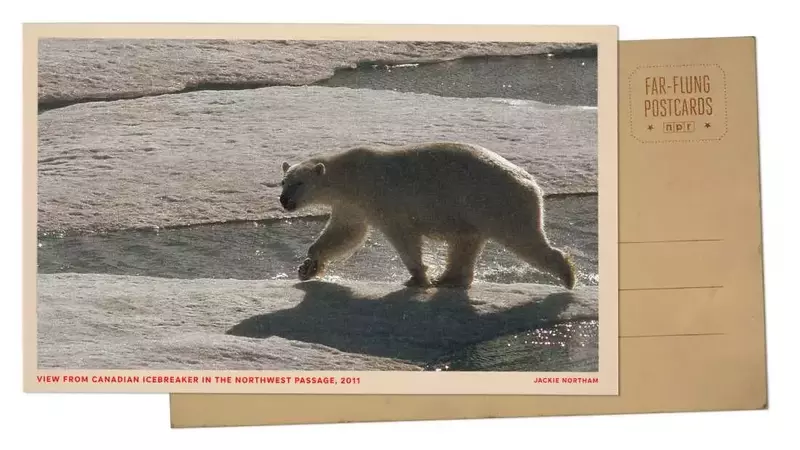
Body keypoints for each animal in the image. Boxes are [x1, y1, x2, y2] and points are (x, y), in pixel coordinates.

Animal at [279, 141, 575, 289]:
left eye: (299, 183)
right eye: (283, 182)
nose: (284, 201)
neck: (351, 175)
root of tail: (532, 183)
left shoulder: (382, 198)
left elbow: (403, 236)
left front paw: (418, 278)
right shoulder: (352, 204)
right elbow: (345, 233)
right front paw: (308, 266)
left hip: (497, 203)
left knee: (523, 239)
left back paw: (567, 275)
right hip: (474, 212)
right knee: (466, 242)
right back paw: (450, 279)